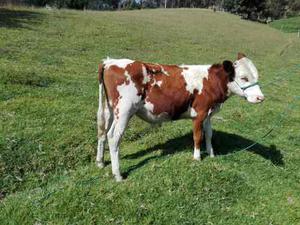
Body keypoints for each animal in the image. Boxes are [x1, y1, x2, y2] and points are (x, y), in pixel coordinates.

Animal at [97, 53, 264, 181]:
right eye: (244, 78)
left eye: (256, 76)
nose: (261, 98)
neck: (211, 80)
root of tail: (110, 61)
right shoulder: (199, 113)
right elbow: (197, 136)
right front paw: (197, 158)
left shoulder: (208, 114)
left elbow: (209, 134)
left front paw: (211, 154)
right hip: (124, 110)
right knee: (113, 137)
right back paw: (118, 175)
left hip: (110, 109)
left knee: (102, 133)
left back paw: (100, 162)